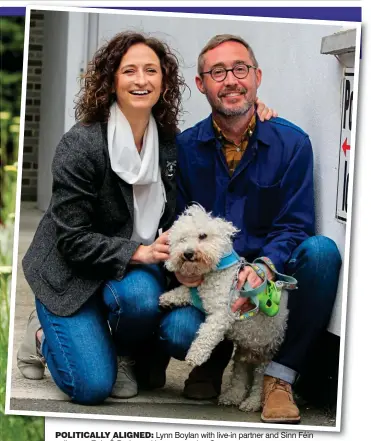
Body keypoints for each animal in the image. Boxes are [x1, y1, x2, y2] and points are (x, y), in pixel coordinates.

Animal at [160, 205, 290, 410]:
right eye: (182, 239)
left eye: (203, 236)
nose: (188, 253)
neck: (216, 273)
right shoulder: (201, 293)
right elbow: (185, 291)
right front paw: (168, 298)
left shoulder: (222, 313)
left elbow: (207, 334)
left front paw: (195, 355)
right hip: (243, 354)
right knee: (240, 376)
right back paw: (233, 397)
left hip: (266, 355)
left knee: (258, 383)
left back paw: (252, 403)